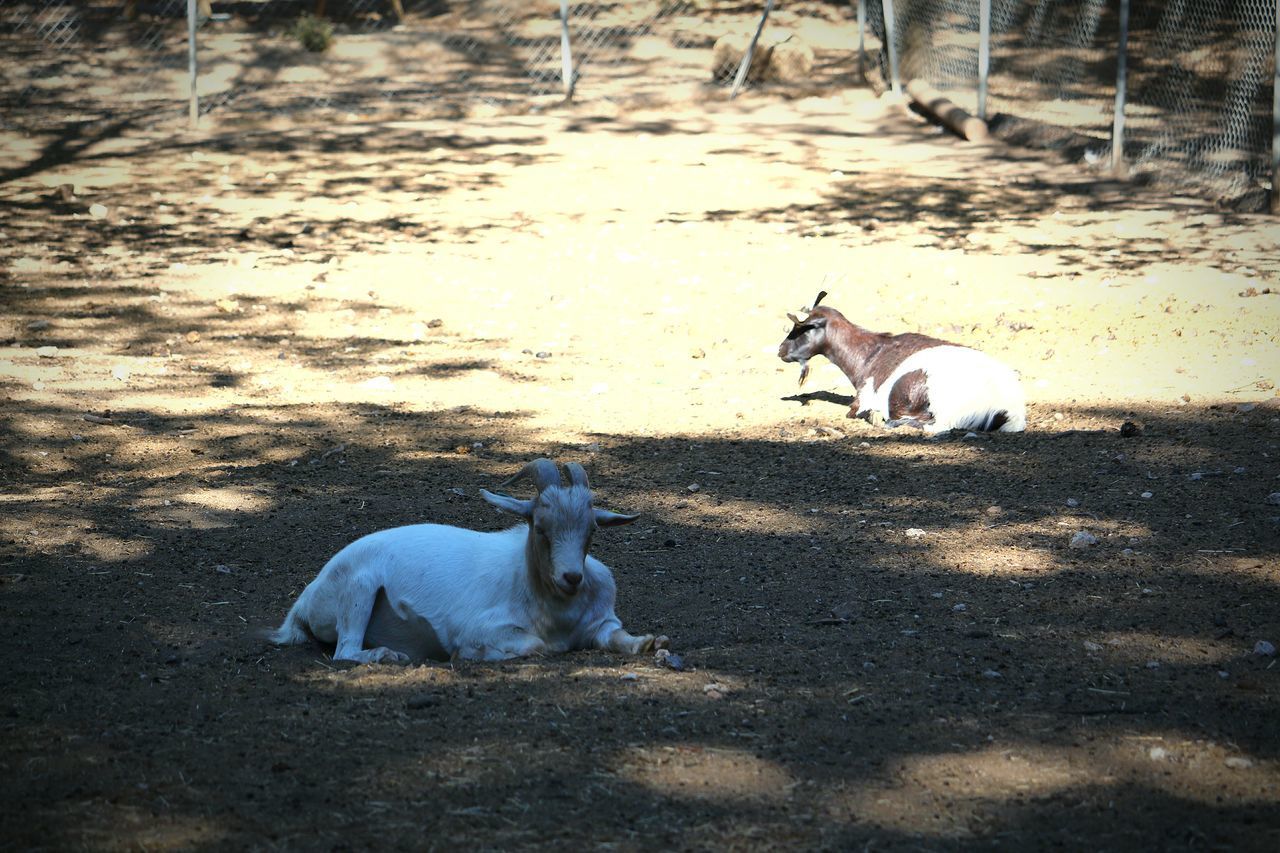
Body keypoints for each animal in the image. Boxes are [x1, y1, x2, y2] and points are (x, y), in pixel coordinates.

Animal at [270, 461, 670, 660]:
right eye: (540, 527)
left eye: (591, 532)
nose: (572, 577)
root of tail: (303, 602)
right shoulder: (477, 625)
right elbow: (535, 646)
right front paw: (472, 655)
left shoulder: (601, 620)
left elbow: (617, 636)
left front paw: (652, 643)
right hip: (359, 588)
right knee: (345, 652)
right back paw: (388, 655)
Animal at [773, 292, 1024, 435]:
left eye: (801, 328)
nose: (780, 350)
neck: (871, 354)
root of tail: (1005, 408)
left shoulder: (862, 399)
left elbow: (855, 412)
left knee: (932, 426)